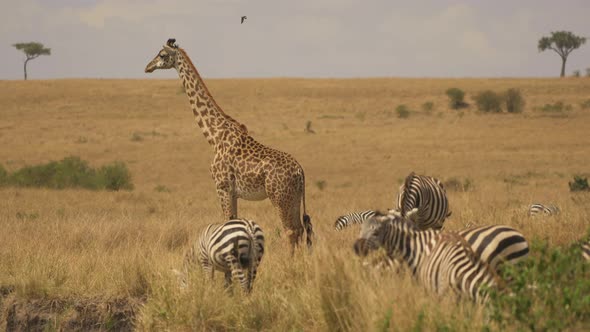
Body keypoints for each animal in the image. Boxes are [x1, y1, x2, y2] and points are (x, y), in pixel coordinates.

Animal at [145, 38, 314, 252]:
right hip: (293, 198)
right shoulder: (233, 192)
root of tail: (300, 172)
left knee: (291, 230)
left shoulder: (222, 187)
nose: (148, 67)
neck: (214, 137)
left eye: (162, 55)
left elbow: (227, 225)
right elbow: (233, 224)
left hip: (279, 197)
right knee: (300, 229)